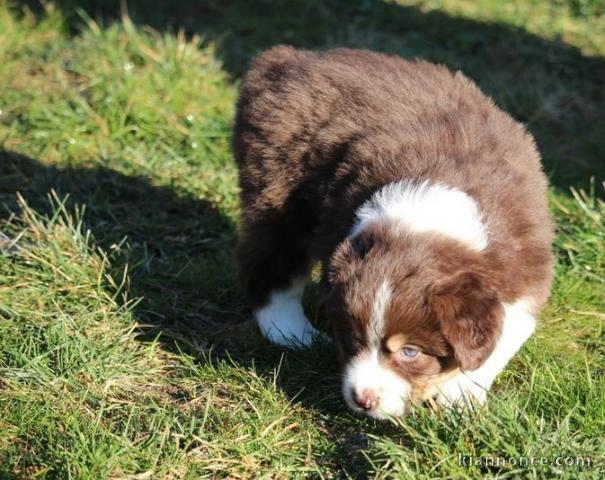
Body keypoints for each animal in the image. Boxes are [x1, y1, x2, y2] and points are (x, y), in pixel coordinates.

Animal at [231, 46, 552, 420]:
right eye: (353, 338)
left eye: (409, 351)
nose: (363, 399)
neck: (427, 211)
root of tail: (287, 58)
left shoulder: (524, 269)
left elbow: (503, 335)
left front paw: (458, 398)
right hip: (279, 197)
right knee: (270, 269)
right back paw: (294, 334)